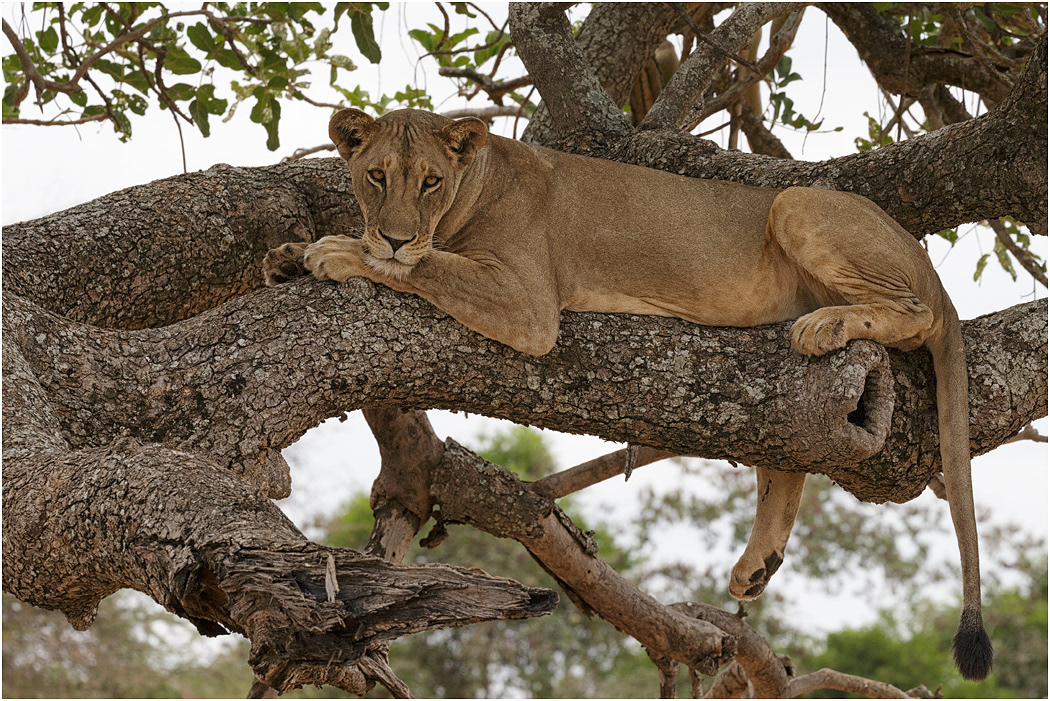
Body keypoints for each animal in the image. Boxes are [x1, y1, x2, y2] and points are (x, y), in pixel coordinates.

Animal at [263, 108, 993, 680]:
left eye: (431, 182)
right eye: (377, 176)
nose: (392, 231)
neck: (472, 187)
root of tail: (925, 259)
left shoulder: (529, 303)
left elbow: (421, 265)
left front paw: (342, 251)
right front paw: (287, 256)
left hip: (799, 204)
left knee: (913, 312)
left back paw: (831, 325)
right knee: (789, 453)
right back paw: (755, 568)